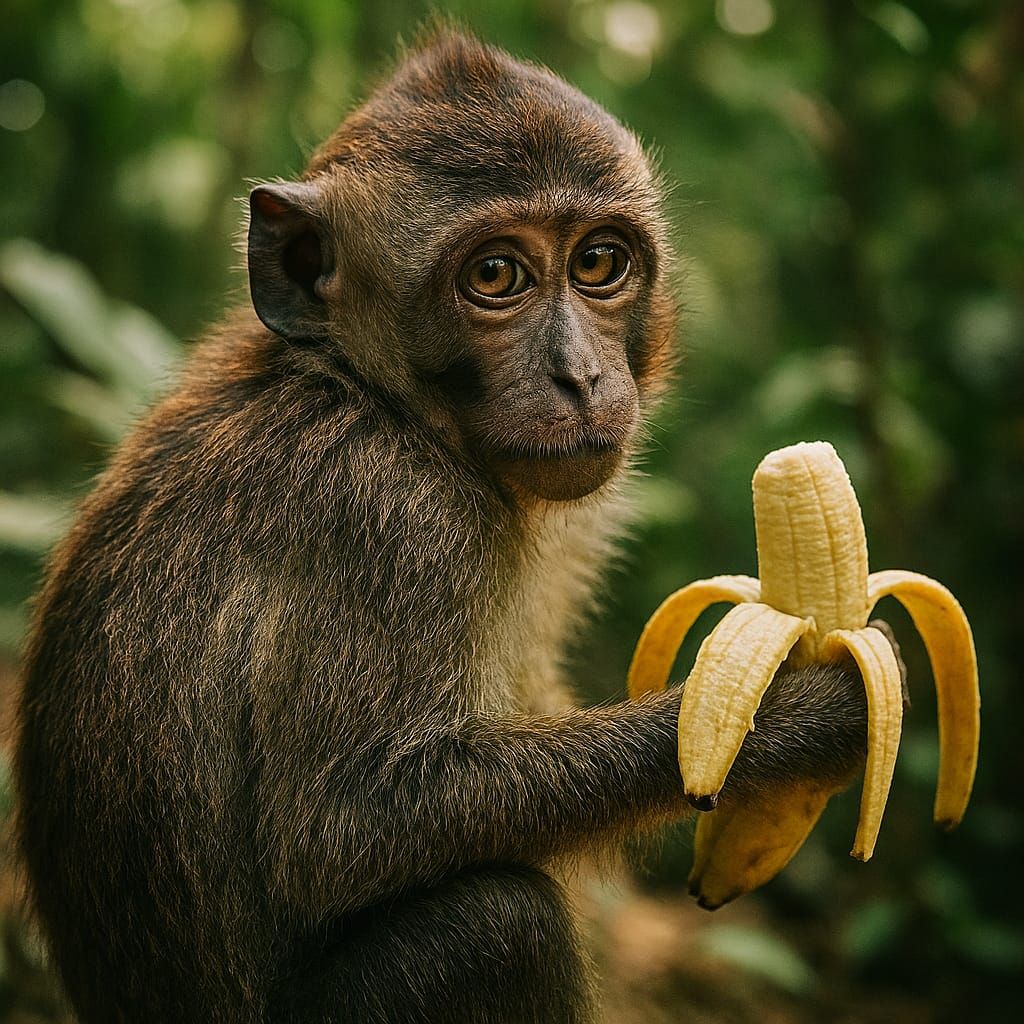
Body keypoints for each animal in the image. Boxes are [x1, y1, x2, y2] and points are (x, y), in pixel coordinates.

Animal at [13, 30, 880, 1024]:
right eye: (495, 275)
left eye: (598, 263)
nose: (582, 377)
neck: (378, 398)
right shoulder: (383, 514)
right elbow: (343, 829)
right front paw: (803, 719)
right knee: (493, 925)